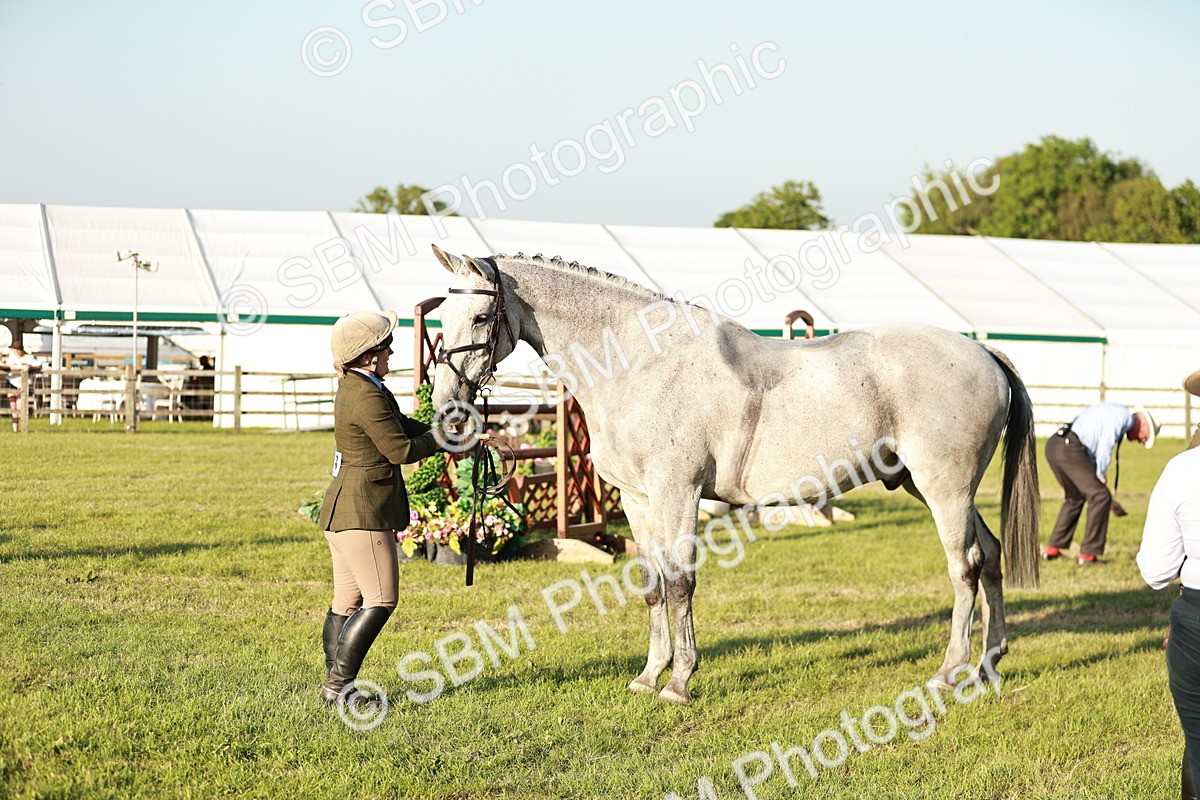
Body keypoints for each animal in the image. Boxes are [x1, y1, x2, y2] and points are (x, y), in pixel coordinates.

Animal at [429, 245, 1040, 704]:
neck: (641, 362)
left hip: (945, 489)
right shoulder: (637, 498)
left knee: (965, 567)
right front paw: (649, 675)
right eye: (441, 317)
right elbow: (651, 582)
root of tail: (984, 354)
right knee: (989, 555)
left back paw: (948, 673)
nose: (448, 409)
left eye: (480, 317)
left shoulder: (677, 494)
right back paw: (989, 664)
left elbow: (680, 581)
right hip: (936, 489)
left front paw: (679, 681)